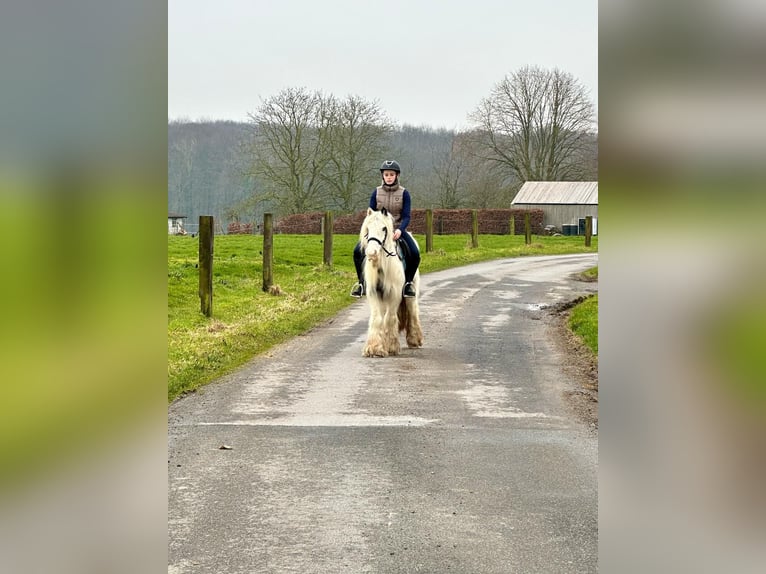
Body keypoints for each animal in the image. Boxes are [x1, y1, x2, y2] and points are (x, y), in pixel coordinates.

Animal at [360, 209, 426, 358]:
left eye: (384, 228)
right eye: (368, 228)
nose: (371, 253)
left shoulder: (394, 294)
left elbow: (389, 319)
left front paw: (391, 347)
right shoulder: (374, 294)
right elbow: (378, 319)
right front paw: (375, 348)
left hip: (410, 294)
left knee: (412, 312)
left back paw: (414, 340)